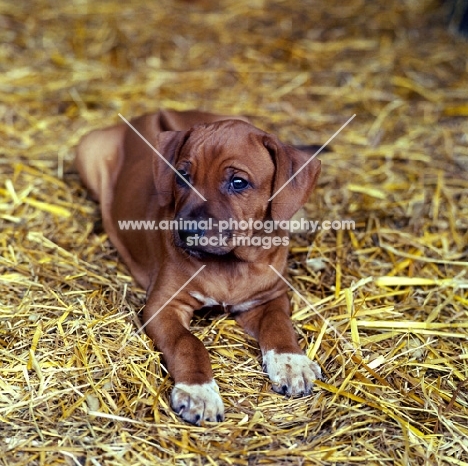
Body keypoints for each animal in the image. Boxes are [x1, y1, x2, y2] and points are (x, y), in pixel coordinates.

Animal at [77, 110, 324, 426]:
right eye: (183, 176)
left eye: (238, 182)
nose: (186, 232)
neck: (229, 264)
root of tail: (152, 113)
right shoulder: (163, 306)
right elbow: (187, 342)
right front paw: (199, 391)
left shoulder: (270, 297)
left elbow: (278, 325)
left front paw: (291, 362)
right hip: (88, 151)